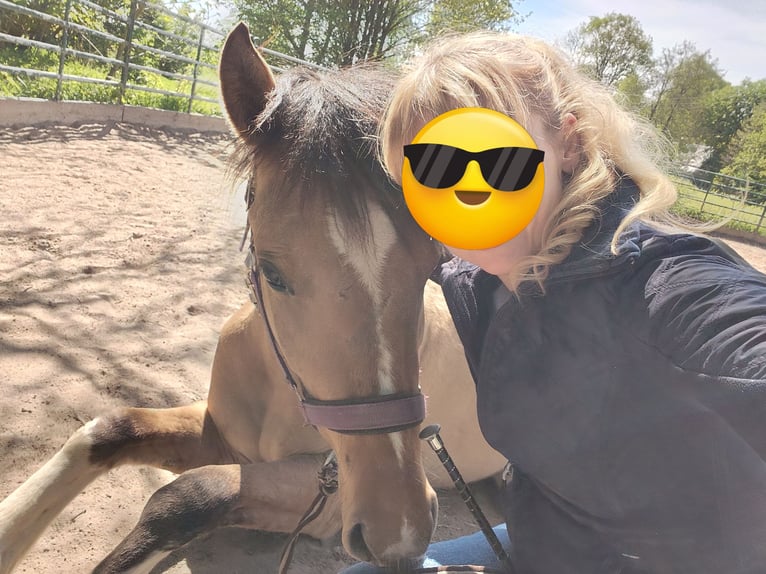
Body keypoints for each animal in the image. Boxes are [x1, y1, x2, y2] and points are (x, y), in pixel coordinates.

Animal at [0, 23, 505, 573]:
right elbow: (113, 427)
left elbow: (187, 496)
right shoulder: (221, 434)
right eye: (272, 274)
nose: (400, 529)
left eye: (431, 264)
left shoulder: (325, 498)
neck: (276, 386)